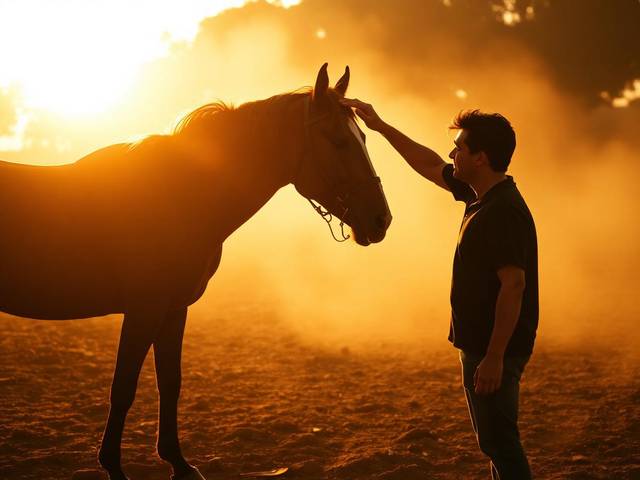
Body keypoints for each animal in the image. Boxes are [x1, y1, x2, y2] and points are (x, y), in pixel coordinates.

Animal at [0, 64, 391, 480]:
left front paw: (178, 461)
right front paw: (114, 466)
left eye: (363, 137)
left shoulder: (173, 309)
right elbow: (123, 387)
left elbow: (170, 382)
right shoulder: (144, 310)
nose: (381, 219)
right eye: (338, 141)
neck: (182, 195)